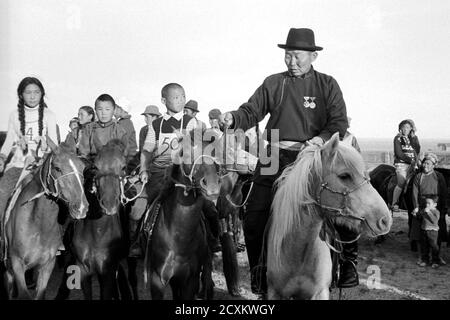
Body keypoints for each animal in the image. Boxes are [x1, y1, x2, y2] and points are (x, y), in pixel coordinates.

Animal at [3, 140, 88, 300]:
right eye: (57, 168)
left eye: (82, 167)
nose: (81, 207)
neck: (37, 224)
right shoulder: (17, 263)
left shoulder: (47, 265)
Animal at [144, 129, 221, 298]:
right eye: (186, 153)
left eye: (214, 151)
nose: (212, 186)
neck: (178, 239)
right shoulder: (157, 280)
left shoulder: (190, 280)